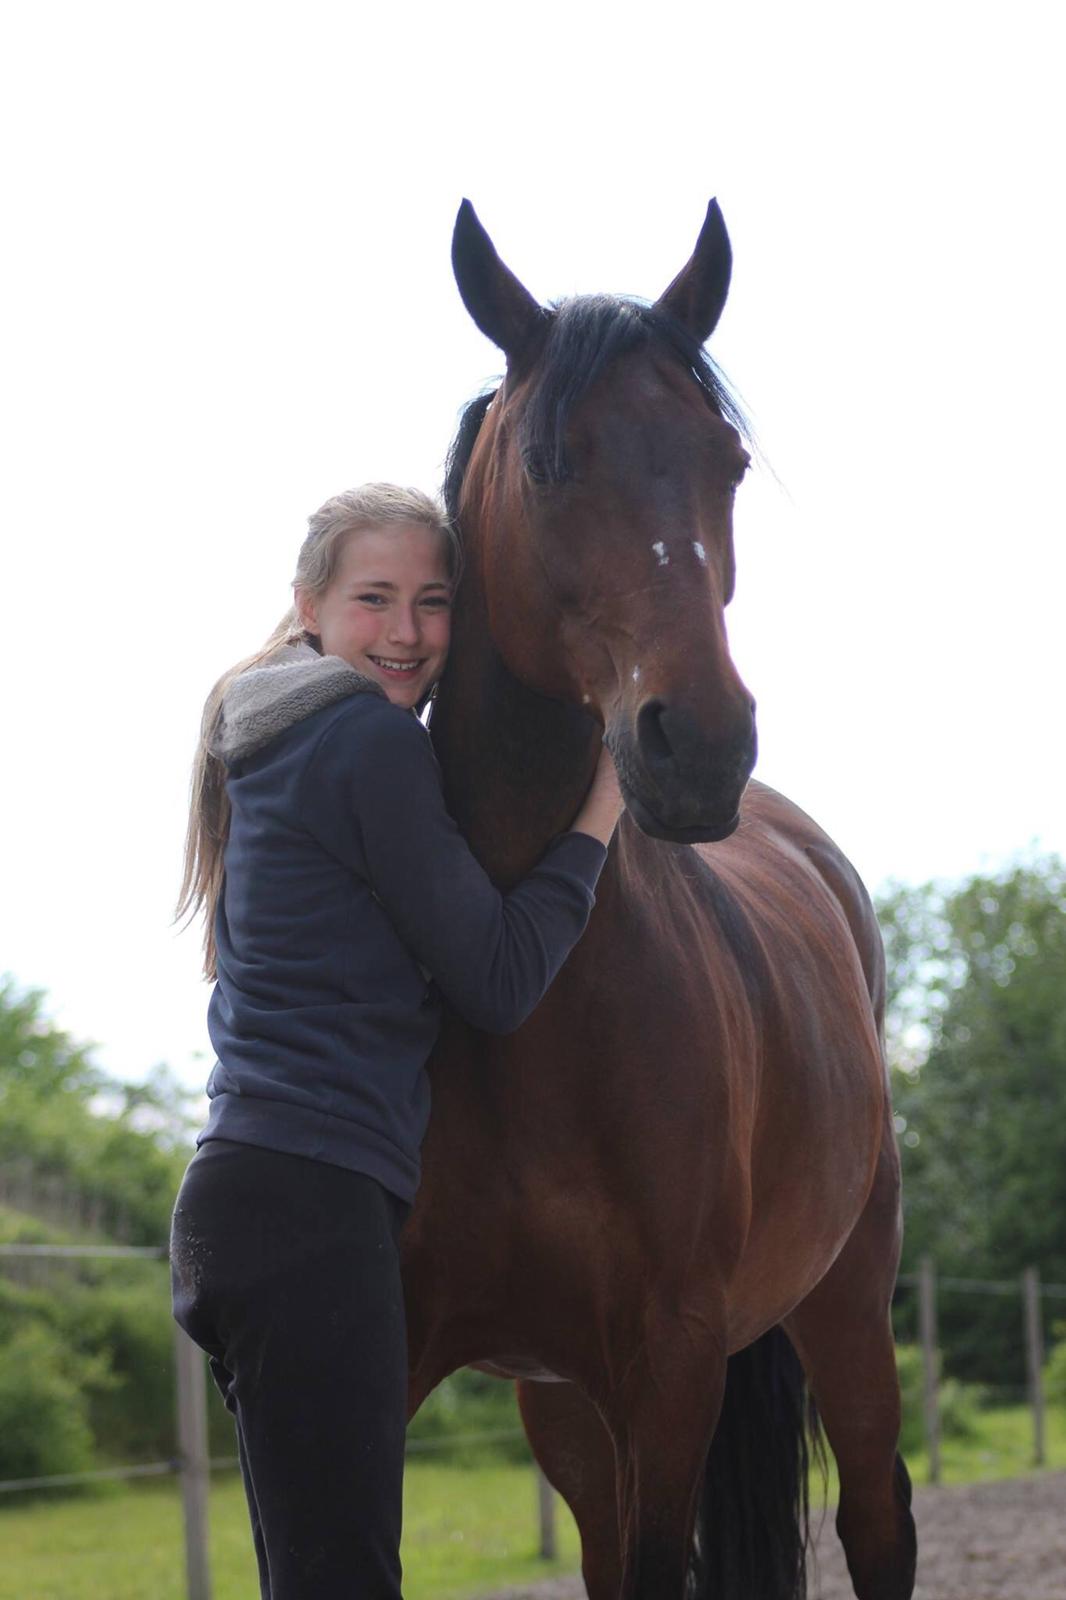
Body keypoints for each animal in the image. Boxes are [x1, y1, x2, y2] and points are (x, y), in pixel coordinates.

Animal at [398, 200, 915, 1600]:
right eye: (546, 462)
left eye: (724, 461)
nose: (702, 745)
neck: (519, 986)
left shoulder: (672, 1361)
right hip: (572, 1409)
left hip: (844, 1307)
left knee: (878, 1523)